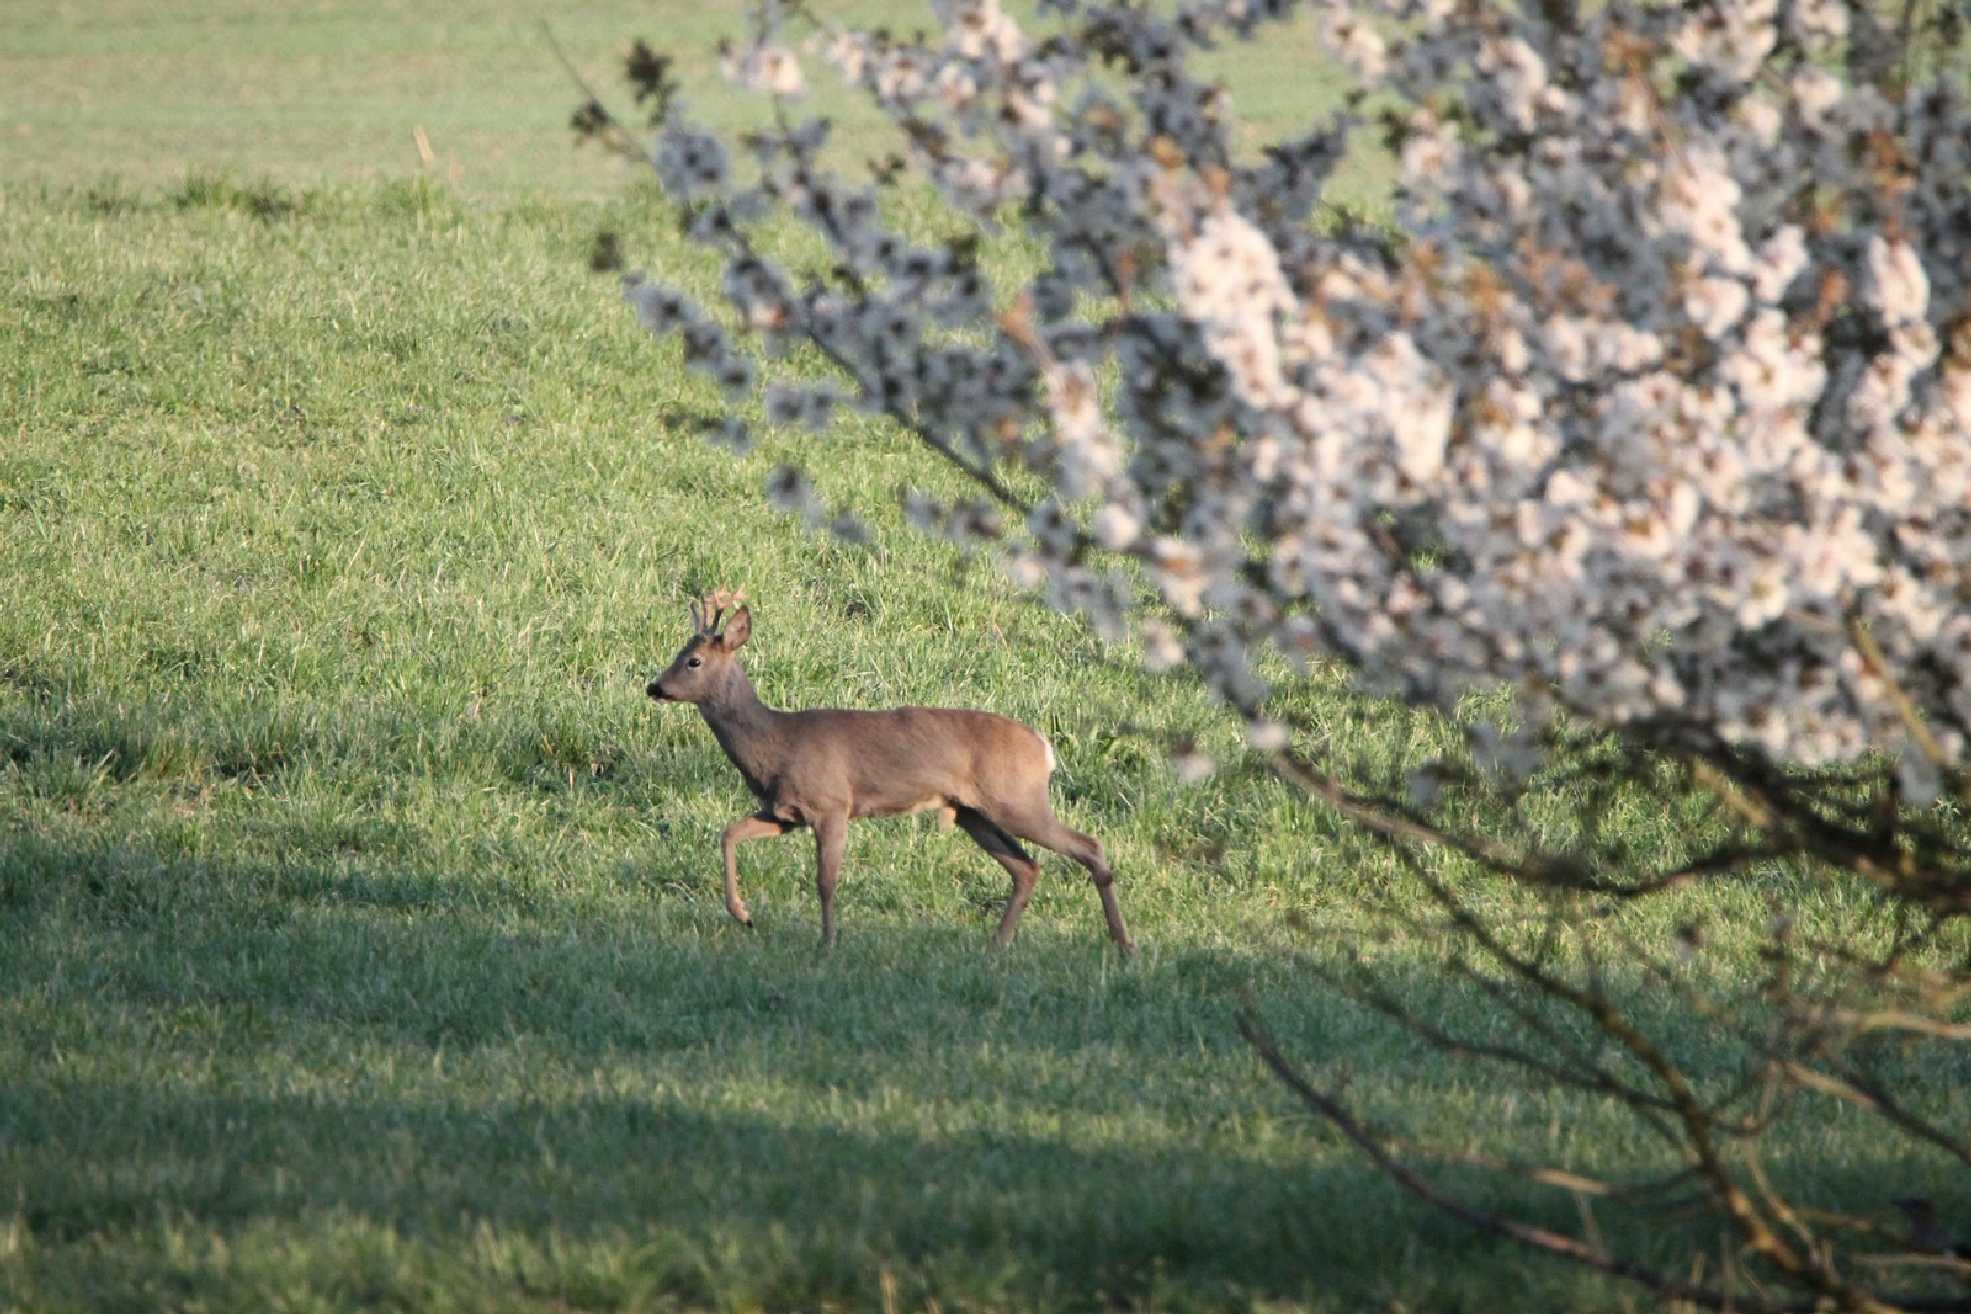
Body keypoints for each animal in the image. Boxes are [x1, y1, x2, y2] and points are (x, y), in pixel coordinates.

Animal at [650, 587, 1143, 957]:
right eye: (678, 653)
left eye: (693, 661)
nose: (654, 686)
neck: (776, 745)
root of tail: (1044, 747)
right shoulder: (783, 812)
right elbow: (730, 833)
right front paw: (744, 914)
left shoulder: (832, 804)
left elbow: (826, 881)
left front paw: (828, 943)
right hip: (973, 812)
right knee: (1026, 866)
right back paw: (997, 946)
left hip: (1017, 799)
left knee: (1089, 846)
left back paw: (1124, 944)